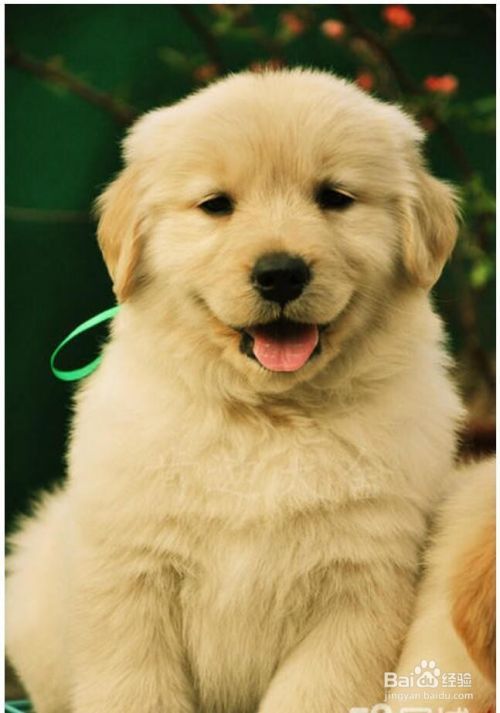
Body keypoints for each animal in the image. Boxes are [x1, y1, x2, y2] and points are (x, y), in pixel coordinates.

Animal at [7, 68, 465, 713]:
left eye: (334, 198)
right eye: (216, 206)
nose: (280, 273)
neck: (264, 419)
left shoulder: (360, 587)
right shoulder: (131, 578)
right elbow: (137, 689)